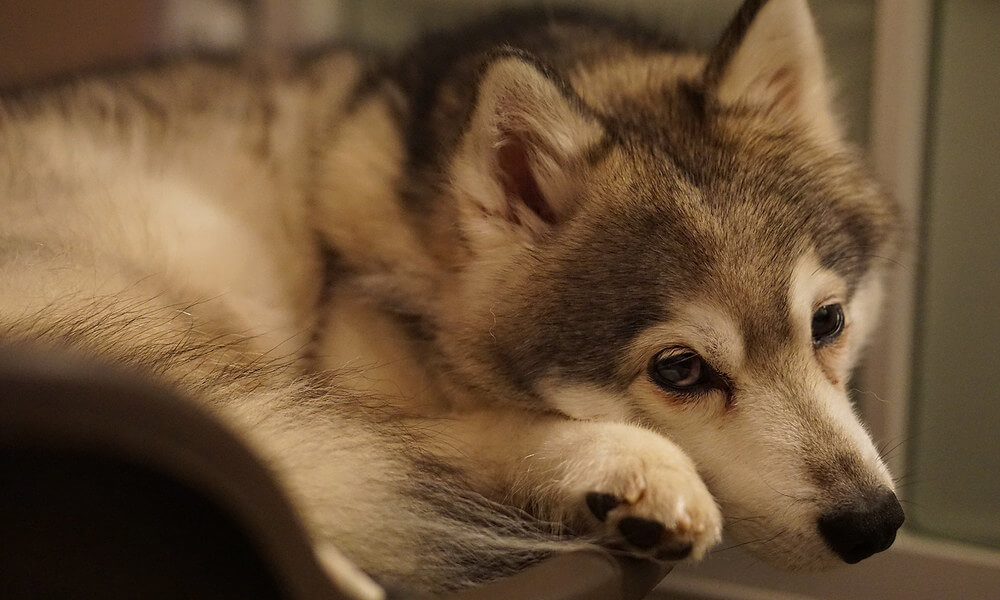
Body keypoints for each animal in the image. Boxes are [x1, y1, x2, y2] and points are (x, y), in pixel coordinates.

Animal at [0, 0, 908, 596]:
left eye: (827, 322)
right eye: (679, 371)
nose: (874, 524)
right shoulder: (350, 385)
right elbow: (474, 430)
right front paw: (625, 459)